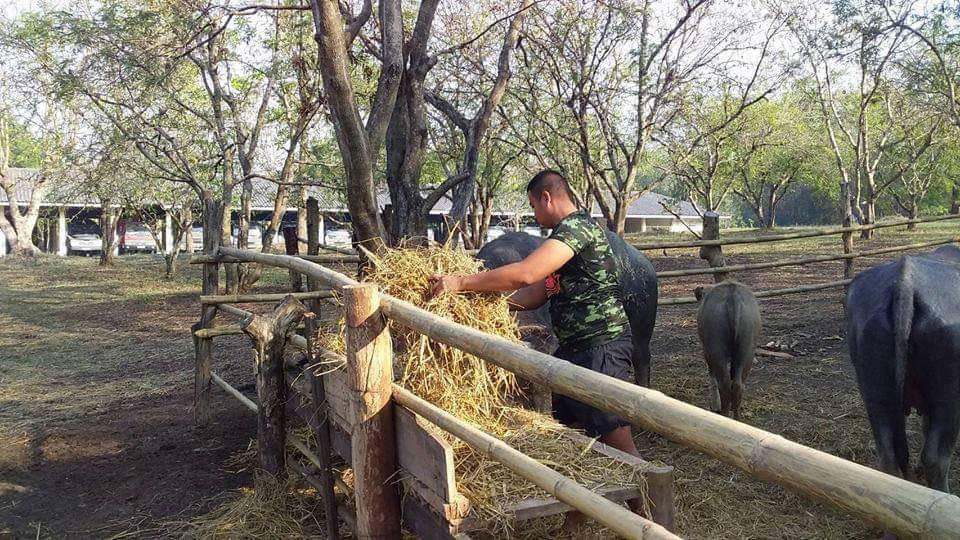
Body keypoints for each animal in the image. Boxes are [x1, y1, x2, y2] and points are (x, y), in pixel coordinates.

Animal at [692, 280, 760, 420]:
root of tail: (732, 297)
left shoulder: (707, 352)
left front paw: (714, 404)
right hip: (747, 350)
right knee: (738, 385)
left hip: (717, 351)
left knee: (724, 384)